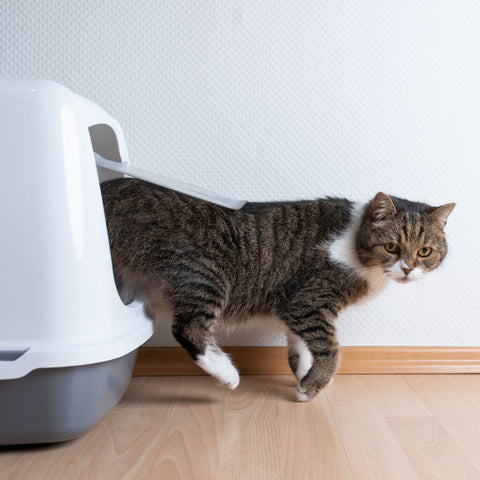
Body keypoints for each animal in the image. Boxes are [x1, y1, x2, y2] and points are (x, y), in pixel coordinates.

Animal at [100, 179, 454, 402]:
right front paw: (313, 387)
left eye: (425, 251)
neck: (355, 243)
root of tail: (113, 188)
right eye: (392, 247)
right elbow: (331, 349)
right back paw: (227, 374)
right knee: (189, 328)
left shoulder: (293, 308)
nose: (408, 268)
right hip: (205, 271)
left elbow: (301, 348)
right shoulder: (309, 302)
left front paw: (304, 375)